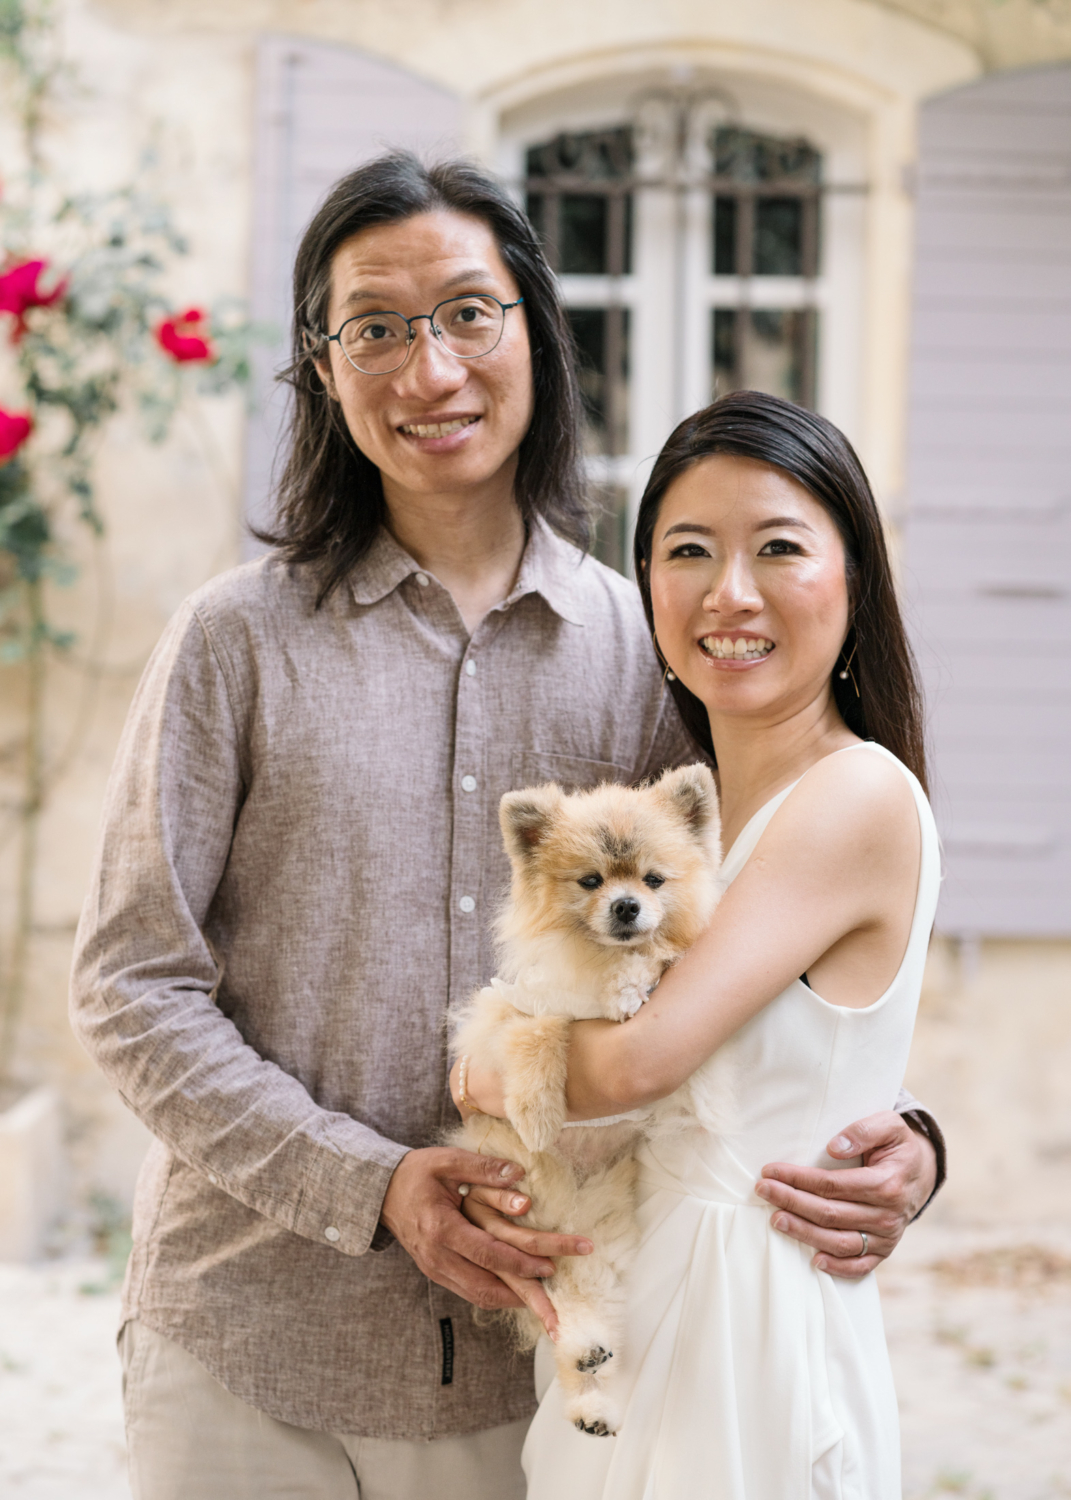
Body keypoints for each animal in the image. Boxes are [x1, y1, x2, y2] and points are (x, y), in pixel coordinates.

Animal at [447, 768, 723, 1434]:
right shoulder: (509, 1010)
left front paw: (631, 985)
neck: (597, 961)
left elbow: (649, 961)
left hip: (597, 1251)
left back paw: (590, 1389)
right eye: (591, 881)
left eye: (653, 880)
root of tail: (562, 1215)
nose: (627, 906)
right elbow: (542, 1031)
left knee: (575, 1314)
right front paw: (537, 1112)